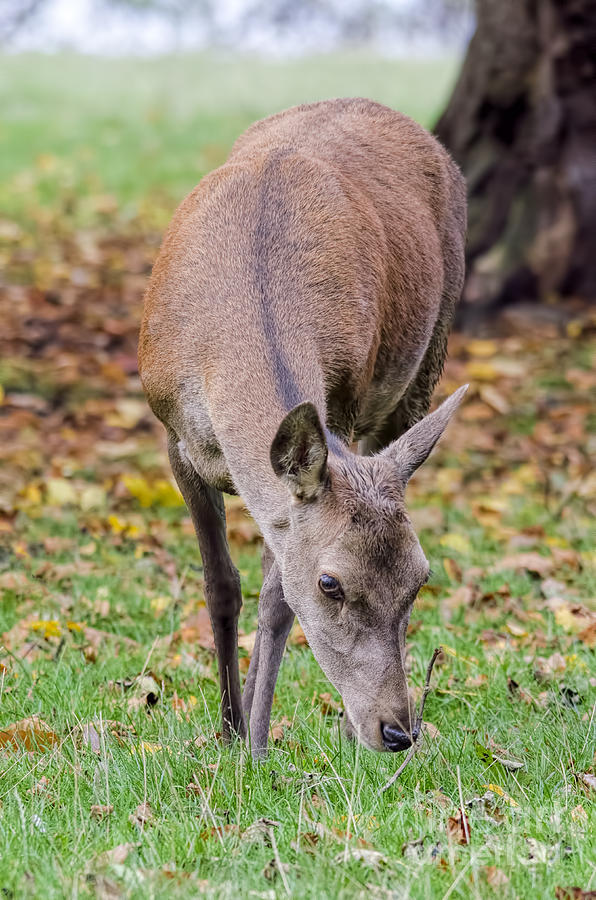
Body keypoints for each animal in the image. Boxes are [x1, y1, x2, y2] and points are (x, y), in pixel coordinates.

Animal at [139, 96, 466, 760]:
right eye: (331, 583)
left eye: (420, 578)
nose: (398, 730)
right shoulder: (176, 439)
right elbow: (222, 585)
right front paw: (230, 729)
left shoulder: (341, 409)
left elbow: (276, 600)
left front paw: (257, 746)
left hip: (427, 355)